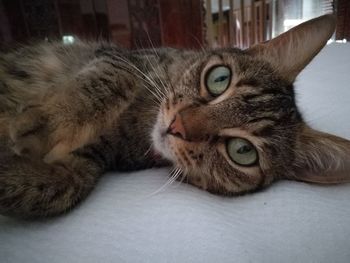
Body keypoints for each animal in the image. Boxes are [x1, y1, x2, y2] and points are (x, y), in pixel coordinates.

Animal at [0, 13, 348, 219]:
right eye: (219, 78)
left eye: (242, 151)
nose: (177, 126)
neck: (140, 121)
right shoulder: (122, 59)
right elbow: (114, 77)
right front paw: (48, 122)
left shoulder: (87, 162)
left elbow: (57, 188)